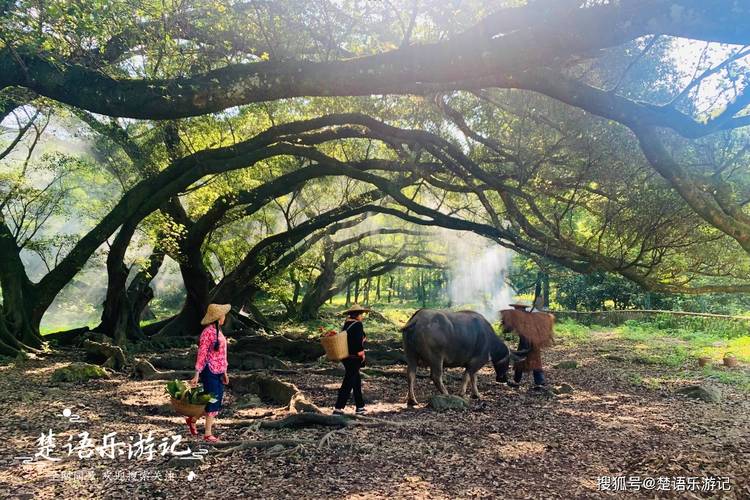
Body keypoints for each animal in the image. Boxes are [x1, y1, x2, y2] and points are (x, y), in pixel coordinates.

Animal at [400, 308, 528, 406]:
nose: (503, 379)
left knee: (410, 375)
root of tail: (416, 320)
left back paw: (412, 400)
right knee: (436, 376)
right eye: (508, 361)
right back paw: (446, 394)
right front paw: (462, 393)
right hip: (436, 359)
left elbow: (474, 378)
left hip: (410, 356)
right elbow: (467, 376)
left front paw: (476, 394)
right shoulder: (476, 362)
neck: (489, 340)